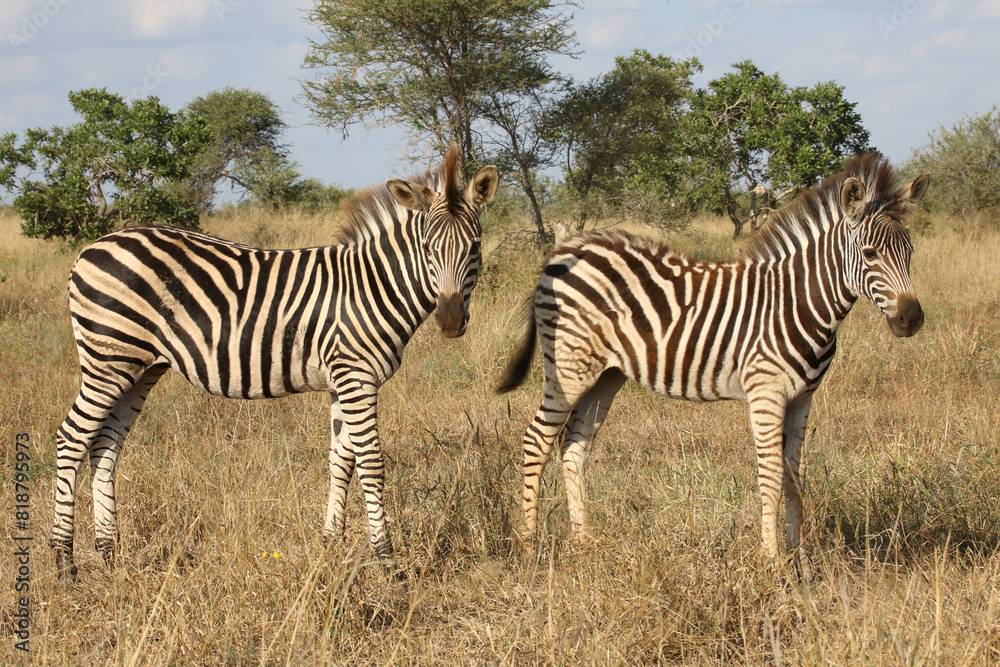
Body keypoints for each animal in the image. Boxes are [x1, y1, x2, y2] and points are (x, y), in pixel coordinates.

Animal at [51, 145, 498, 579]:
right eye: (428, 249)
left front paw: (330, 546)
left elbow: (340, 461)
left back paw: (108, 554)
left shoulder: (341, 381)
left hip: (140, 366)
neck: (373, 286)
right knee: (72, 438)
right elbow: (371, 464)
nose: (450, 321)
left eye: (474, 248)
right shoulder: (357, 376)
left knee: (105, 446)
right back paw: (64, 563)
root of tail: (93, 246)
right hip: (108, 358)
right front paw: (388, 563)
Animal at [498, 155, 929, 576]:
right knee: (537, 440)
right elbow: (771, 476)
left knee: (574, 447)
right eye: (870, 254)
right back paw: (529, 548)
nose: (911, 319)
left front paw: (803, 564)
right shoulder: (766, 393)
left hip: (606, 374)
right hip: (569, 367)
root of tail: (564, 251)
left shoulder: (803, 398)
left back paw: (583, 542)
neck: (799, 302)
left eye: (910, 252)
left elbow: (795, 478)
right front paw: (772, 563)